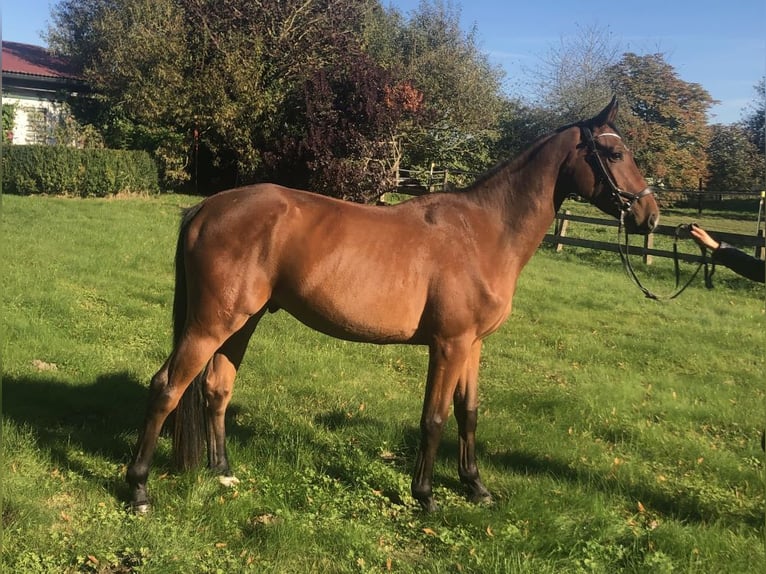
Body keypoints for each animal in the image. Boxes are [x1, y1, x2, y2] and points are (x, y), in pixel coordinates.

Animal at [126, 97, 660, 513]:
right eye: (615, 151)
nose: (650, 215)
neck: (483, 233)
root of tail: (206, 207)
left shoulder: (473, 346)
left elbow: (468, 413)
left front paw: (476, 487)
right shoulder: (448, 345)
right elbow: (434, 418)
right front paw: (425, 495)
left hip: (243, 321)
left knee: (216, 387)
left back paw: (222, 471)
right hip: (211, 323)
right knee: (167, 387)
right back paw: (139, 490)